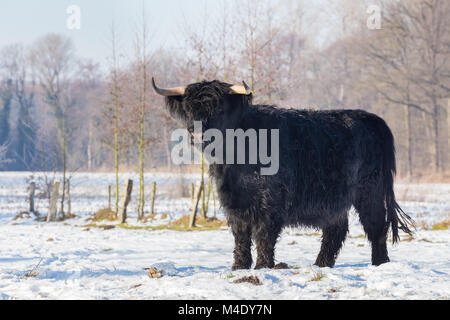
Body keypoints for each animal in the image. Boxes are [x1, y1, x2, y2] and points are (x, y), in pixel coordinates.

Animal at [153, 79, 414, 268]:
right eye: (189, 108)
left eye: (218, 107)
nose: (197, 133)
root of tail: (370, 118)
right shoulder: (232, 201)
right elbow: (241, 235)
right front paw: (239, 267)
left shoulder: (271, 202)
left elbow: (263, 235)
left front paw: (262, 266)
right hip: (335, 199)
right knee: (336, 229)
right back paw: (321, 264)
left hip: (370, 191)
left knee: (376, 225)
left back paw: (380, 263)